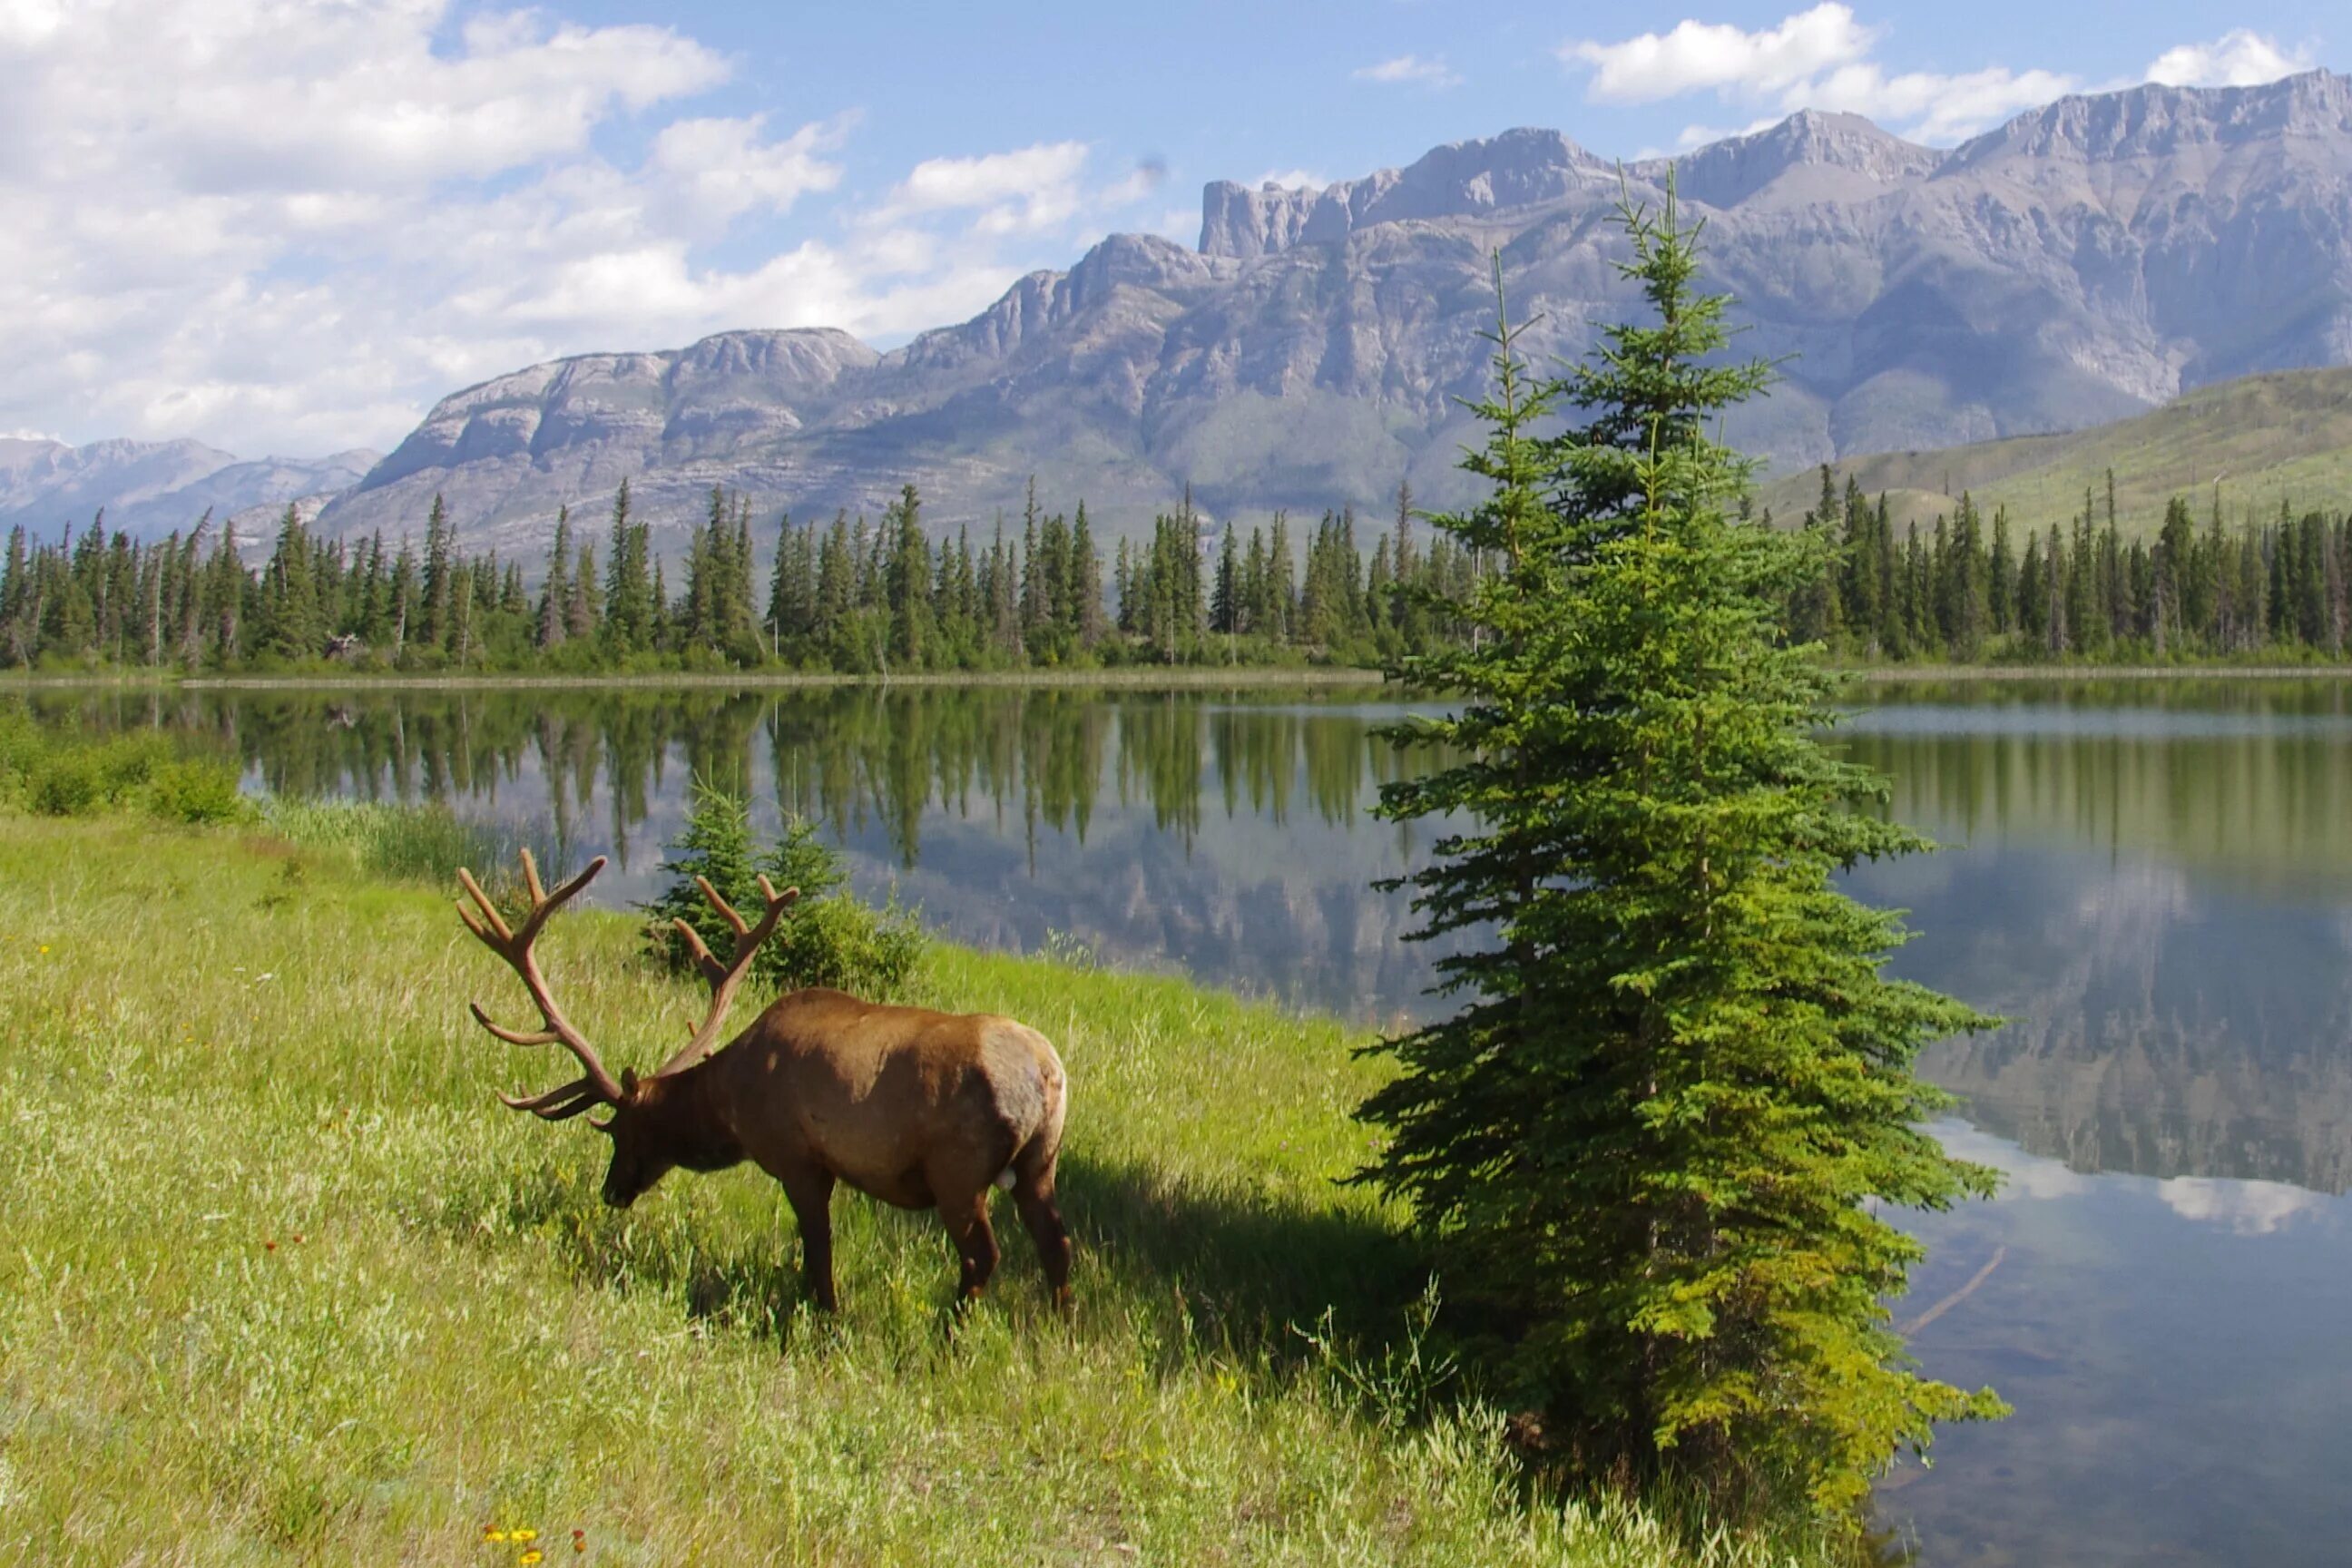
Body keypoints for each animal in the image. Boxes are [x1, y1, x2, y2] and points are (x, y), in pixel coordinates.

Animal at [451, 850, 1077, 1316]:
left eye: (622, 1130)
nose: (612, 1191)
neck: (731, 1106)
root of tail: (1046, 1074)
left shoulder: (797, 1156)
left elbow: (818, 1252)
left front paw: (824, 1320)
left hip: (957, 1170)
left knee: (981, 1255)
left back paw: (948, 1334)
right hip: (1041, 1161)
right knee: (1058, 1243)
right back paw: (1059, 1328)